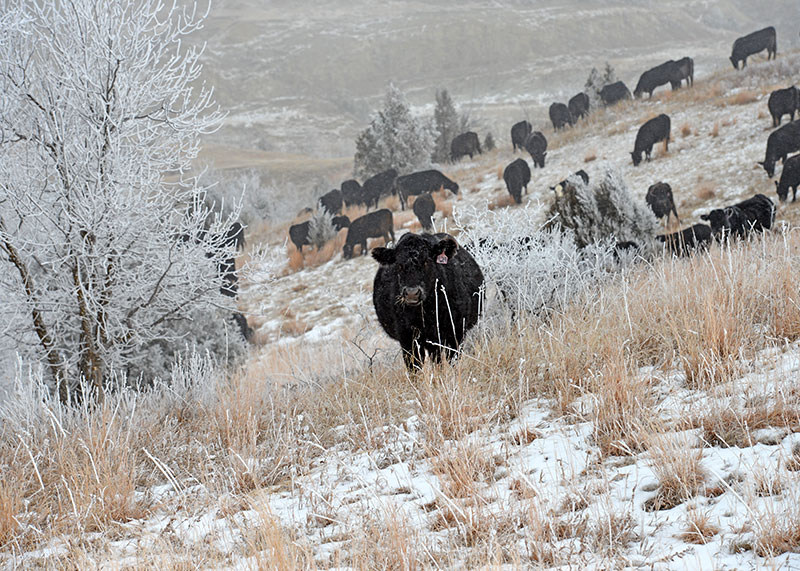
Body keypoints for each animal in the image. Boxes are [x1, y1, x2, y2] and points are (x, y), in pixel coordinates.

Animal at [372, 233, 484, 374]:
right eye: (399, 265)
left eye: (426, 262)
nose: (412, 293)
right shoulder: (408, 339)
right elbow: (414, 368)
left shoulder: (455, 333)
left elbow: (451, 361)